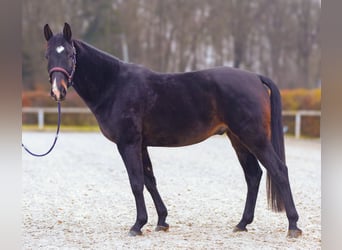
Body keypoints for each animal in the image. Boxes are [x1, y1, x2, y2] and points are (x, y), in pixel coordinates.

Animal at [42, 23, 302, 238]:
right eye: (47, 55)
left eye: (70, 54)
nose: (57, 91)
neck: (114, 85)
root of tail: (255, 77)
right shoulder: (141, 144)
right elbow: (149, 180)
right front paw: (161, 221)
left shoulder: (128, 143)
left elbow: (136, 182)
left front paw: (138, 225)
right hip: (238, 139)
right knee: (253, 175)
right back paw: (242, 223)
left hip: (254, 137)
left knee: (278, 170)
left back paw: (293, 225)